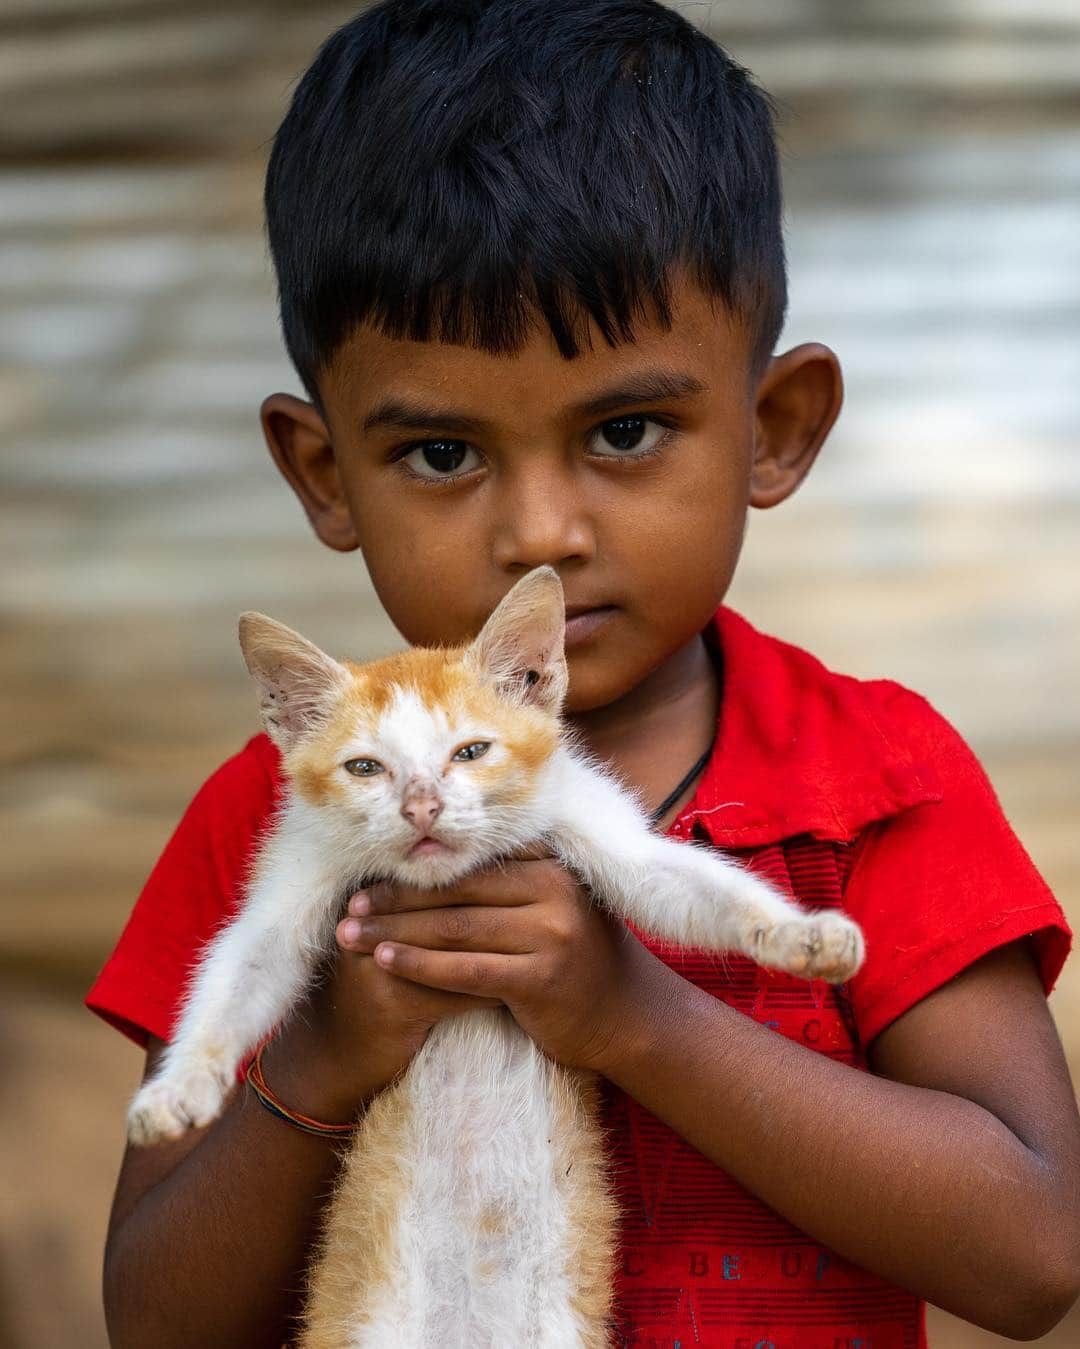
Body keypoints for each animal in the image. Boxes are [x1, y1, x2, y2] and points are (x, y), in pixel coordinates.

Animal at [128, 563, 868, 1343]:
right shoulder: (304, 860)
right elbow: (242, 967)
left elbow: (687, 885)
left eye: (471, 752)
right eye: (365, 767)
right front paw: (179, 1088)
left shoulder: (585, 813)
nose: (421, 806)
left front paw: (803, 934)